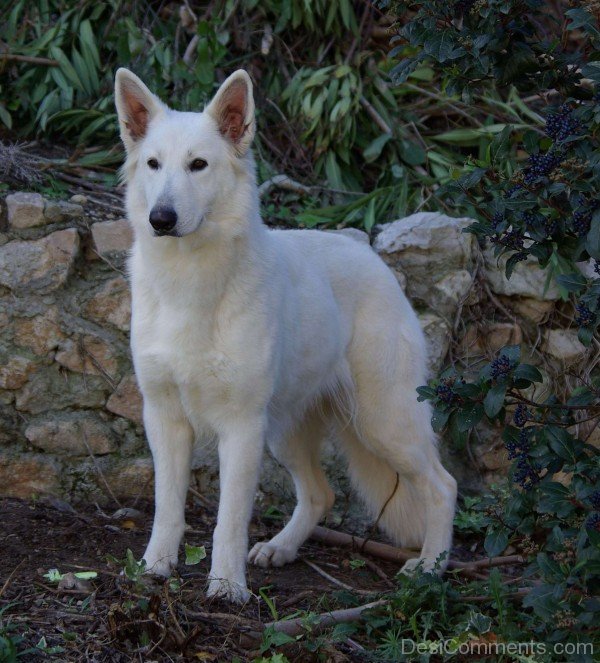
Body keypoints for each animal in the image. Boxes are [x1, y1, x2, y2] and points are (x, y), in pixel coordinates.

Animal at [115, 66, 458, 600]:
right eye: (153, 164)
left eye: (198, 165)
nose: (161, 219)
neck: (191, 283)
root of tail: (372, 256)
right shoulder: (165, 419)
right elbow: (167, 509)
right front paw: (154, 569)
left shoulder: (241, 427)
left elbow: (229, 519)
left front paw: (226, 587)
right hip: (285, 433)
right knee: (321, 493)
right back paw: (281, 548)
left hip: (385, 422)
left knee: (443, 486)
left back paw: (430, 568)